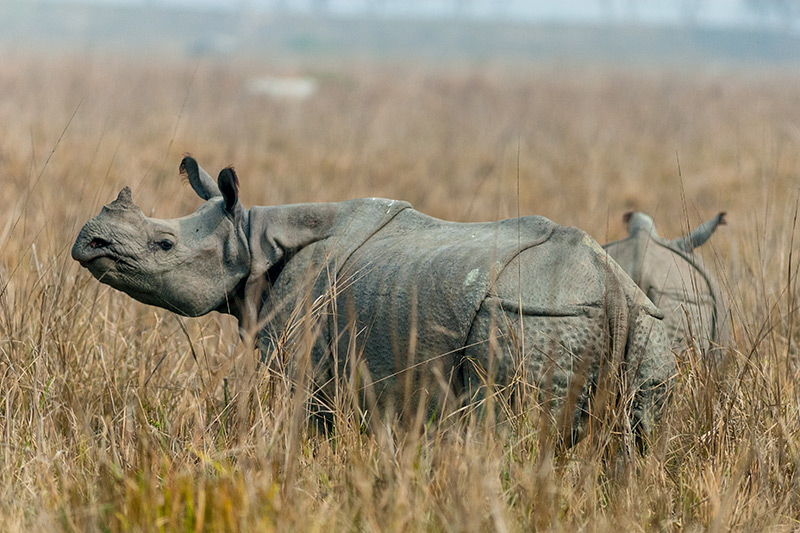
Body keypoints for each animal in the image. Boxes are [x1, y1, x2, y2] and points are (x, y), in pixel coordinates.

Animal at [72, 157, 674, 445]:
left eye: (164, 244)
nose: (88, 244)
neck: (254, 237)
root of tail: (610, 286)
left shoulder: (310, 364)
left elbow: (312, 426)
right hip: (643, 324)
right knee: (639, 443)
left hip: (531, 317)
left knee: (508, 435)